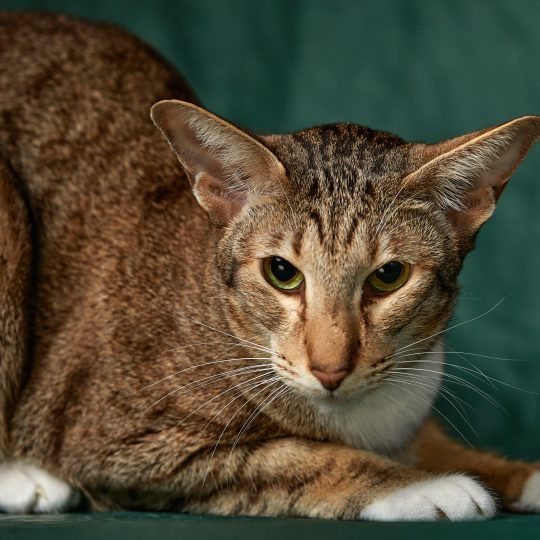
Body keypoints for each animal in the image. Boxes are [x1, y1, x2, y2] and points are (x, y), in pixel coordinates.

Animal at [1, 11, 540, 520]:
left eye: (389, 277)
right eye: (282, 273)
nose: (329, 370)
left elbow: (433, 440)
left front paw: (515, 473)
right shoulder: (127, 443)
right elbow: (297, 456)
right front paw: (421, 485)